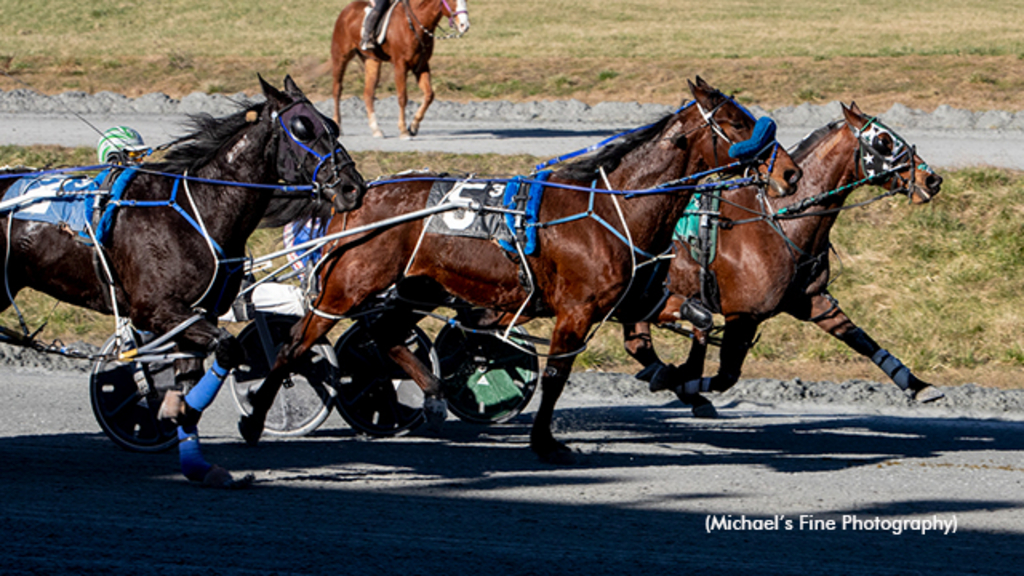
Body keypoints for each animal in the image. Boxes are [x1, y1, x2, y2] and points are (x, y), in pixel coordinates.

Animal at [0, 73, 368, 481]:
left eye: (332, 125)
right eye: (302, 127)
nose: (353, 187)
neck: (199, 211)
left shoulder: (196, 316)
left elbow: (201, 368)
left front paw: (197, 456)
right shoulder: (156, 310)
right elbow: (230, 349)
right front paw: (185, 410)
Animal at [243, 77, 802, 461]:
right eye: (736, 121)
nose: (791, 172)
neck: (608, 208)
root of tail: (359, 194)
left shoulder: (630, 300)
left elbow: (699, 320)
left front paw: (684, 378)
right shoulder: (576, 311)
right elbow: (555, 377)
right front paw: (545, 442)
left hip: (417, 289)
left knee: (386, 335)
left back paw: (435, 394)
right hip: (346, 287)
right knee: (296, 345)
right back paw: (255, 417)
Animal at [329, 0, 468, 138]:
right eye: (452, 1)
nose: (464, 25)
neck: (413, 24)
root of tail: (347, 10)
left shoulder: (422, 65)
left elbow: (429, 95)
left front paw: (413, 126)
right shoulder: (400, 66)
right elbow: (402, 98)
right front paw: (403, 130)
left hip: (372, 61)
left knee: (368, 93)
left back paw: (376, 129)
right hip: (340, 57)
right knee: (337, 89)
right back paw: (337, 125)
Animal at [626, 99, 946, 412]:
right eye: (883, 141)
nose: (932, 180)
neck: (775, 221)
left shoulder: (810, 299)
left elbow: (861, 339)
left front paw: (919, 385)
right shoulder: (742, 314)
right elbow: (724, 376)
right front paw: (680, 381)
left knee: (637, 344)